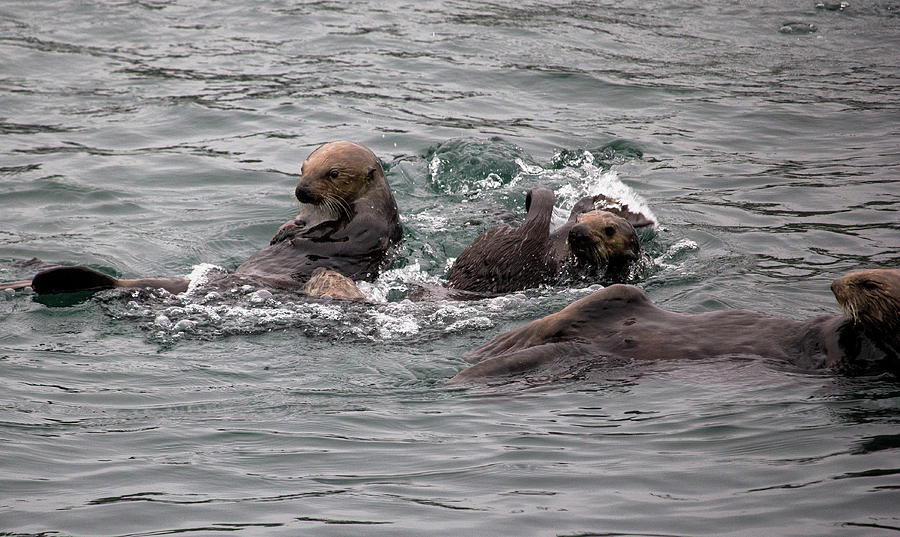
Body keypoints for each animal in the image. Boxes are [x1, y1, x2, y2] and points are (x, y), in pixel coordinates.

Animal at [0, 140, 400, 300]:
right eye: (304, 168)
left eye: (332, 173)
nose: (302, 190)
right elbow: (296, 226)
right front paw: (282, 232)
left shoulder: (366, 225)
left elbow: (336, 239)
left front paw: (300, 237)